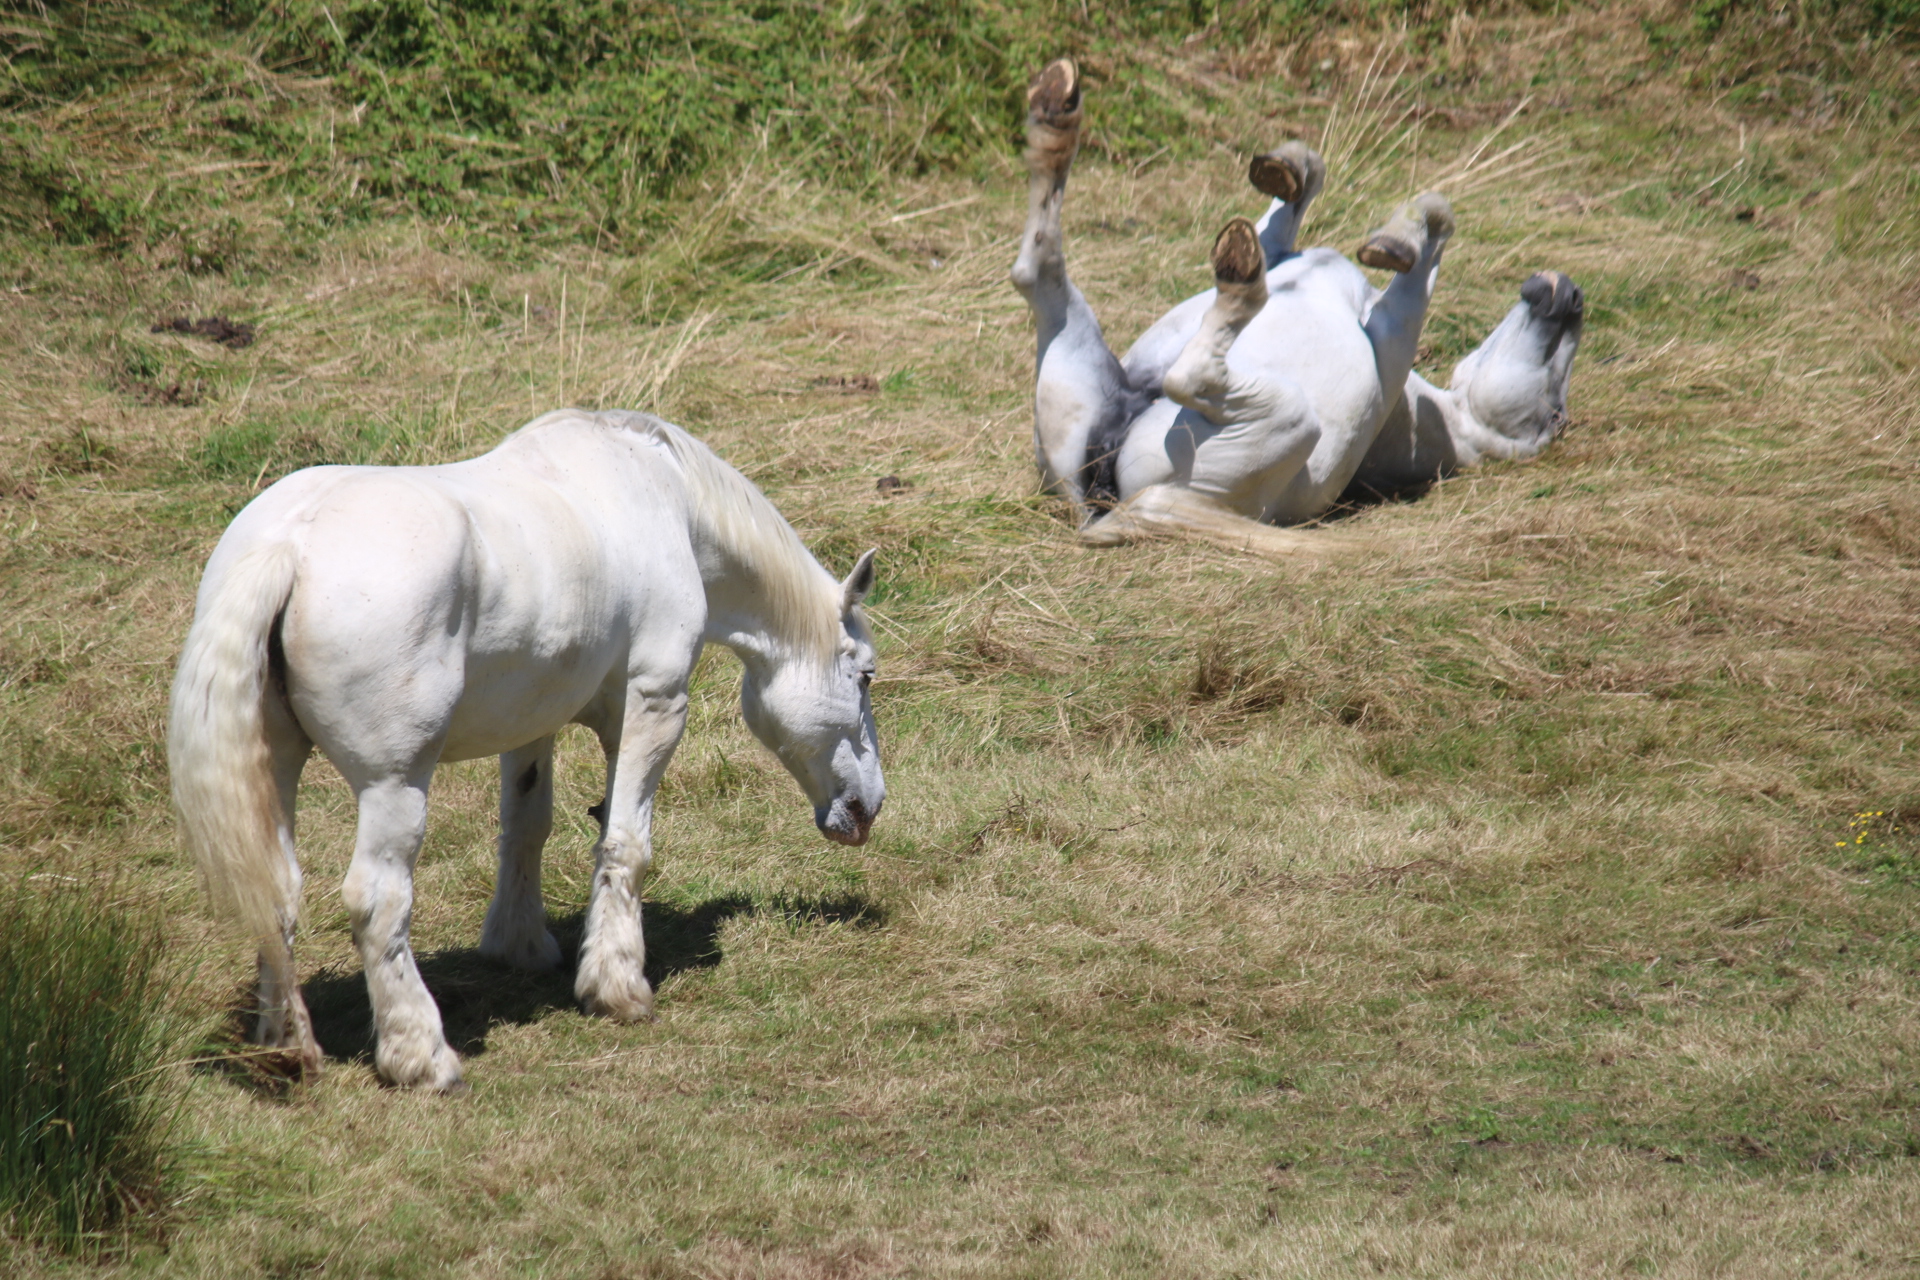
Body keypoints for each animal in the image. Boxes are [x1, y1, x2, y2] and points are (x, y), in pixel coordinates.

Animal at [168, 410, 884, 1091]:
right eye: (866, 676)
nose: (869, 804)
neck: (664, 497)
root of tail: (288, 545)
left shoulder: (534, 719)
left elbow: (526, 826)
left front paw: (520, 945)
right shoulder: (655, 704)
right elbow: (625, 843)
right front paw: (617, 987)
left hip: (277, 767)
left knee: (276, 890)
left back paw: (287, 1048)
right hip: (394, 784)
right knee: (377, 901)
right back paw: (421, 1057)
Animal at [1009, 59, 1585, 549]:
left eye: (1554, 415)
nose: (1573, 298)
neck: (1442, 418)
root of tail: (1101, 508)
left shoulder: (1393, 329)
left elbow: (1433, 229)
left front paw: (1393, 242)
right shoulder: (1292, 257)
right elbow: (1296, 211)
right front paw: (1291, 169)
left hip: (1286, 418)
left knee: (1190, 373)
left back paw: (1238, 282)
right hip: (1073, 369)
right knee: (1037, 268)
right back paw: (1054, 110)